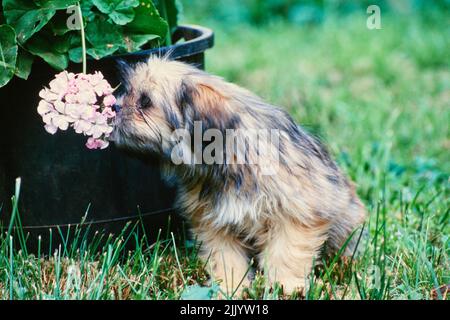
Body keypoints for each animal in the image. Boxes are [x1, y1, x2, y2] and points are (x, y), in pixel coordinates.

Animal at [111, 56, 366, 296]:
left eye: (145, 102)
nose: (114, 108)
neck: (228, 158)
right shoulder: (215, 224)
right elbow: (226, 258)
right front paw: (230, 287)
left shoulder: (296, 213)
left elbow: (286, 252)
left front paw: (286, 287)